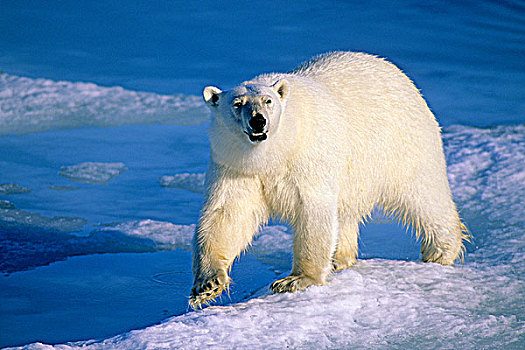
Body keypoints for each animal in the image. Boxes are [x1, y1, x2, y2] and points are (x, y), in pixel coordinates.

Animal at [190, 50, 468, 308]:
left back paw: (440, 252)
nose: (258, 121)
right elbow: (226, 215)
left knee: (424, 195)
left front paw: (295, 280)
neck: (274, 153)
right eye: (237, 104)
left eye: (268, 101)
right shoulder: (235, 167)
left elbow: (313, 211)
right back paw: (339, 259)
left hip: (403, 144)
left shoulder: (307, 159)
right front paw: (207, 285)